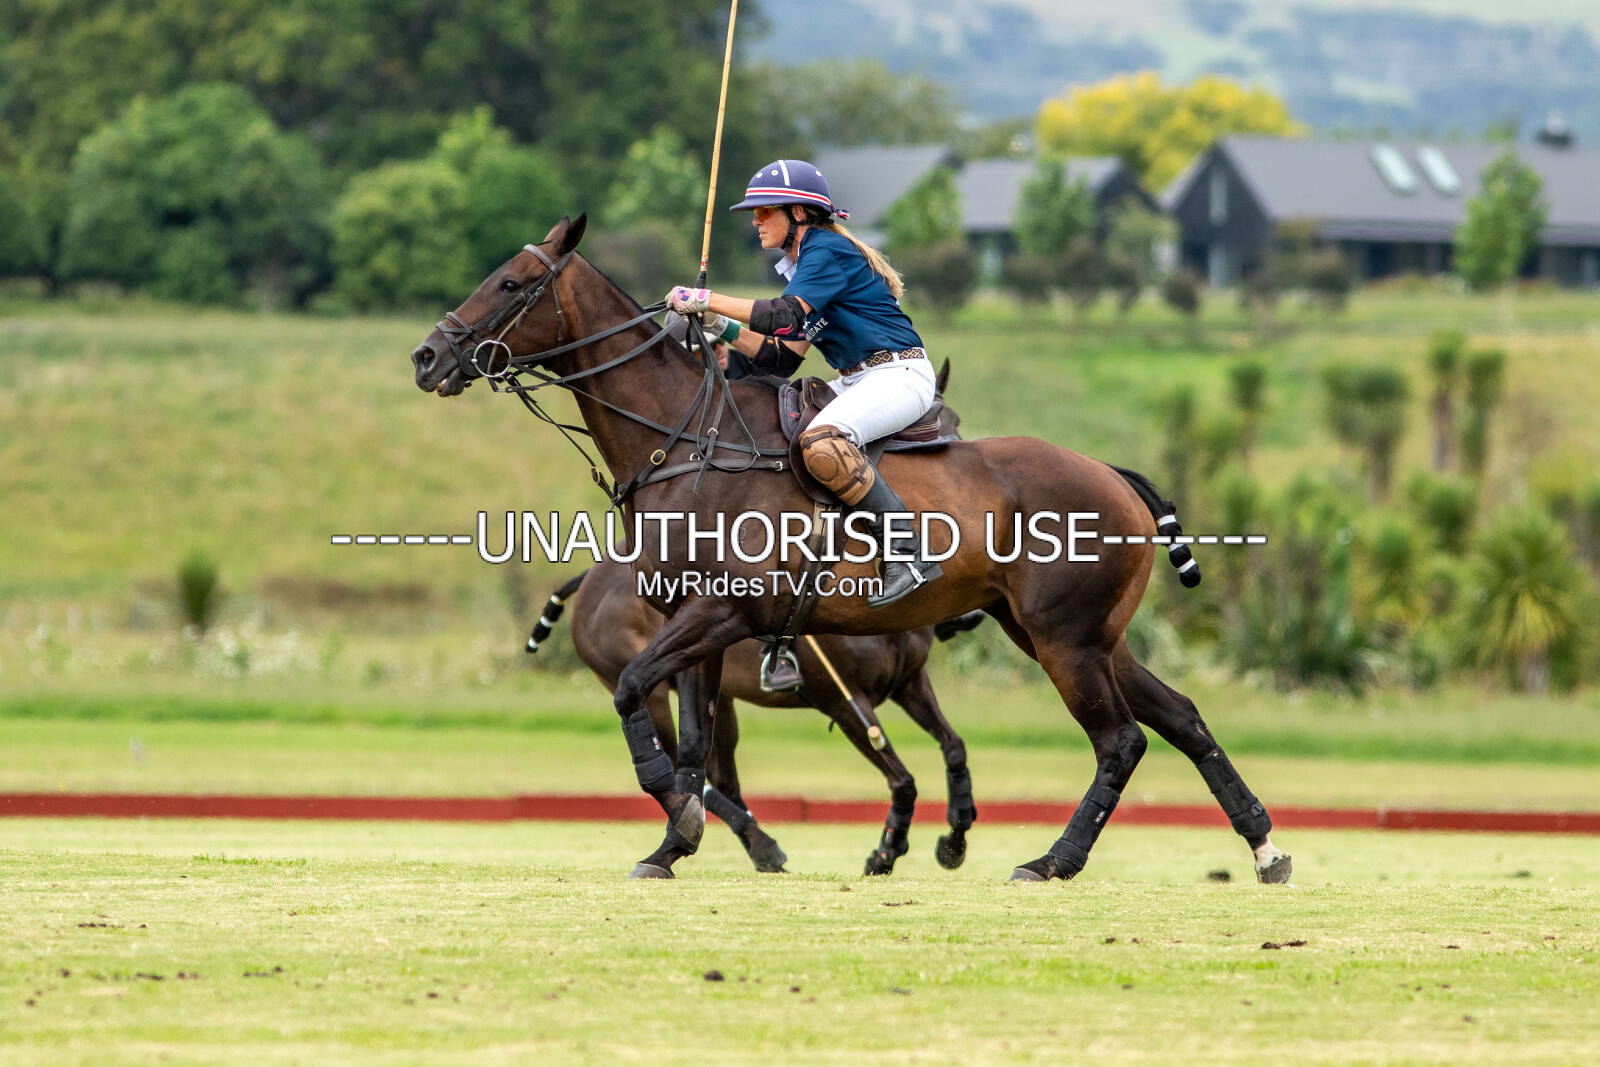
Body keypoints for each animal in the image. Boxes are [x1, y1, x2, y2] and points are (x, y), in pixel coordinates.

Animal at [527, 563, 987, 875]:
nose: (970, 616)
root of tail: (592, 574)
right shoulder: (842, 701)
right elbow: (902, 779)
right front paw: (885, 853)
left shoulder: (910, 682)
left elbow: (954, 747)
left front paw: (955, 837)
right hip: (646, 687)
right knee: (681, 765)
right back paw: (752, 843)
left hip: (719, 693)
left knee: (718, 772)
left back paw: (758, 847)